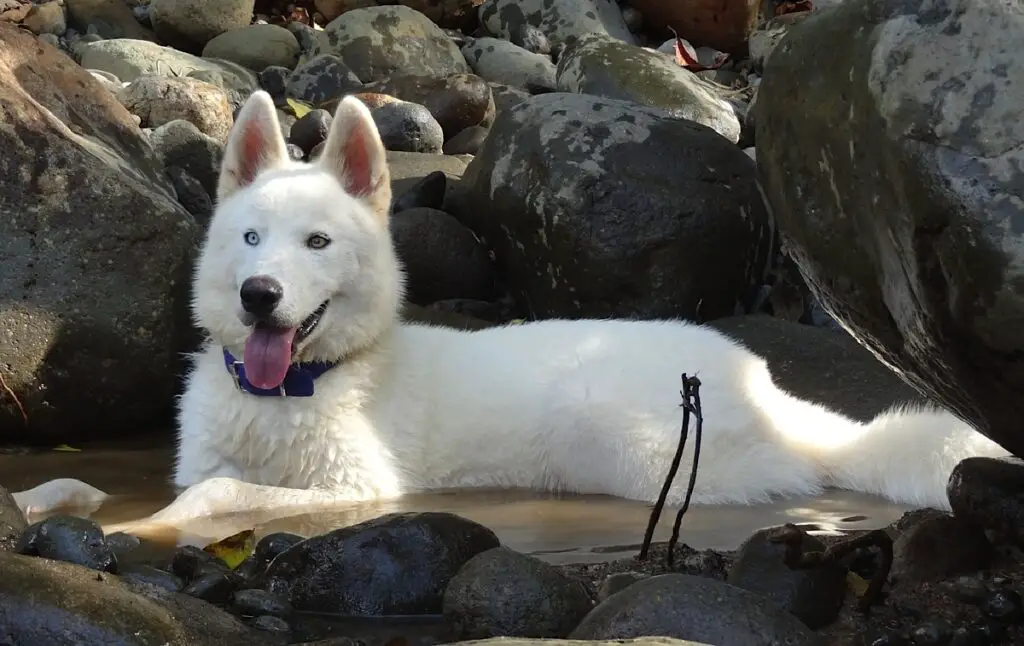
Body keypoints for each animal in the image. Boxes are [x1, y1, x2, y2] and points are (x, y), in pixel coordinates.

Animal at [12, 92, 1003, 524]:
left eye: (318, 243)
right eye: (252, 238)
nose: (261, 296)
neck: (292, 391)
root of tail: (769, 387)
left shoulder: (360, 490)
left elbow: (213, 495)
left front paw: (149, 526)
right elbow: (90, 487)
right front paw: (41, 500)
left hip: (630, 447)